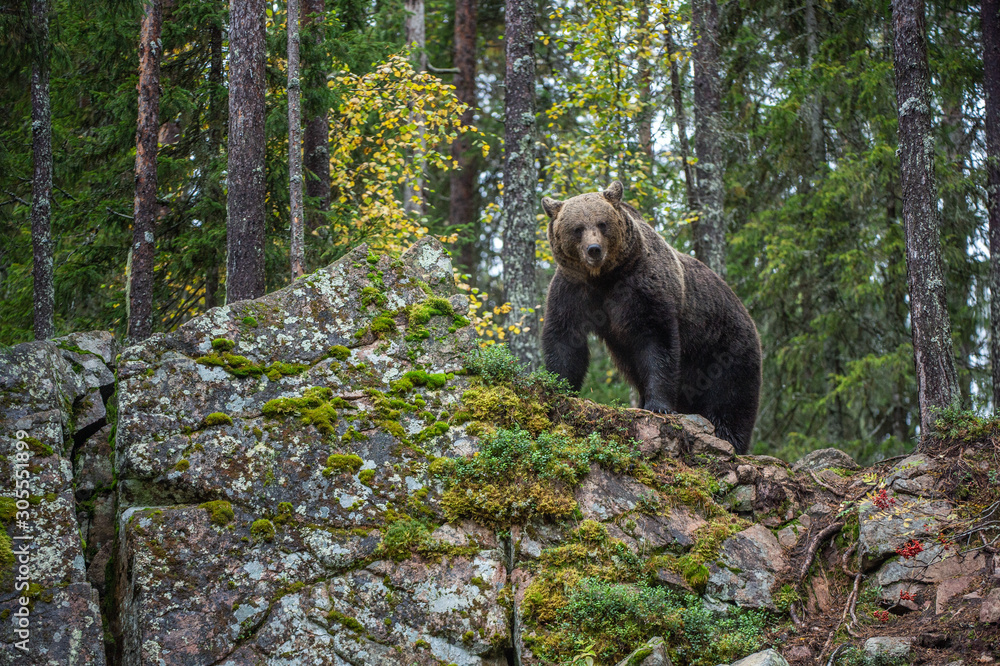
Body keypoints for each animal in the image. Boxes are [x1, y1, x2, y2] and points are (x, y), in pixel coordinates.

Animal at [541, 181, 762, 454]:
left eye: (602, 223)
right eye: (577, 228)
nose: (594, 250)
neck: (604, 278)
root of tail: (747, 314)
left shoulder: (643, 287)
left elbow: (656, 342)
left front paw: (658, 405)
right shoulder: (574, 290)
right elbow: (564, 338)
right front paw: (559, 385)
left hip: (725, 346)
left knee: (732, 395)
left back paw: (728, 435)